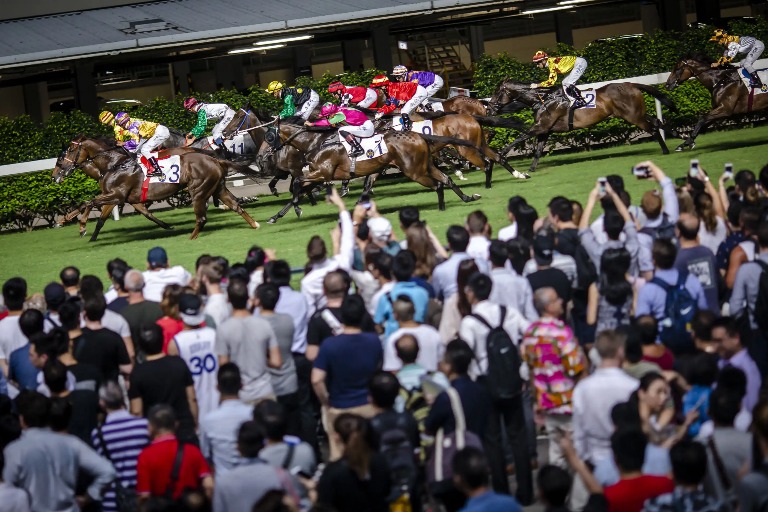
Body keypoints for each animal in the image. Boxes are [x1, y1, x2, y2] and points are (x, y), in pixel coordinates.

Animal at [53, 136, 260, 240]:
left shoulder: (116, 194)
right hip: (217, 186)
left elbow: (87, 202)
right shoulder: (126, 198)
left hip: (198, 189)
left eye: (68, 151)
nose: (55, 176)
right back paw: (254, 223)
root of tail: (214, 159)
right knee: (234, 205)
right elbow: (141, 214)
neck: (114, 165)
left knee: (203, 215)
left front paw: (73, 223)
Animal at [488, 79, 676, 173]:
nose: (489, 107)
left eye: (497, 92)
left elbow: (520, 137)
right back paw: (678, 138)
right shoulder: (545, 129)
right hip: (637, 114)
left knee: (653, 129)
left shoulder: (541, 126)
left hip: (633, 117)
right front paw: (531, 169)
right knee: (657, 122)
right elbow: (539, 150)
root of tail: (631, 84)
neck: (542, 99)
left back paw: (666, 150)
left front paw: (501, 153)